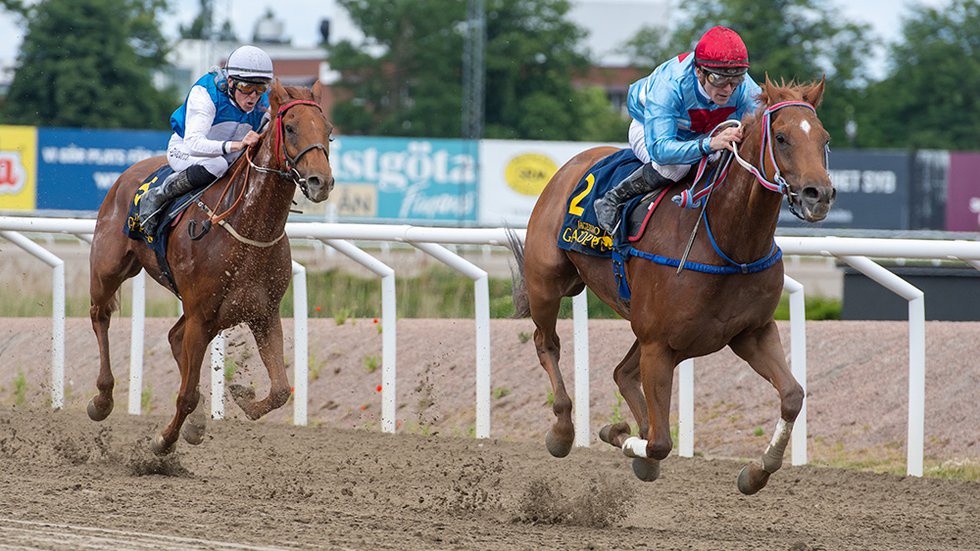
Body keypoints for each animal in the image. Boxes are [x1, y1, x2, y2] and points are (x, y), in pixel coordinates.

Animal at [92, 80, 336, 454]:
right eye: (291, 127)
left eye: (329, 131)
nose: (320, 182)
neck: (249, 229)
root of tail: (126, 175)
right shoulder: (202, 314)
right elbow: (186, 395)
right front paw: (162, 441)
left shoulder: (263, 313)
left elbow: (281, 390)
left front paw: (242, 396)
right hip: (109, 270)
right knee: (100, 315)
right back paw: (102, 399)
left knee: (174, 336)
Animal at [512, 78, 836, 496]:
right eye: (781, 138)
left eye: (824, 138)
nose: (819, 194)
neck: (728, 244)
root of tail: (570, 165)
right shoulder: (659, 343)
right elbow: (661, 443)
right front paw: (622, 437)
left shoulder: (751, 333)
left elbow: (793, 396)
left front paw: (756, 471)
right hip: (548, 283)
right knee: (547, 343)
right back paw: (564, 431)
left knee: (622, 373)